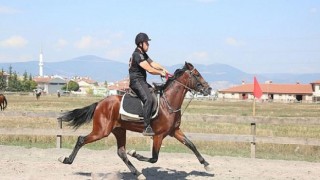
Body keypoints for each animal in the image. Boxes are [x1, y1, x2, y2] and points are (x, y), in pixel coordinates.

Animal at [57, 62, 212, 179]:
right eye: (197, 74)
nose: (209, 89)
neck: (168, 103)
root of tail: (100, 103)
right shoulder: (158, 135)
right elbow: (154, 158)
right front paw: (135, 153)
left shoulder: (174, 131)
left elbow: (191, 144)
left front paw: (206, 164)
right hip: (101, 131)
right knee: (81, 139)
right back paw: (66, 159)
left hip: (119, 130)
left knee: (121, 152)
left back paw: (137, 173)